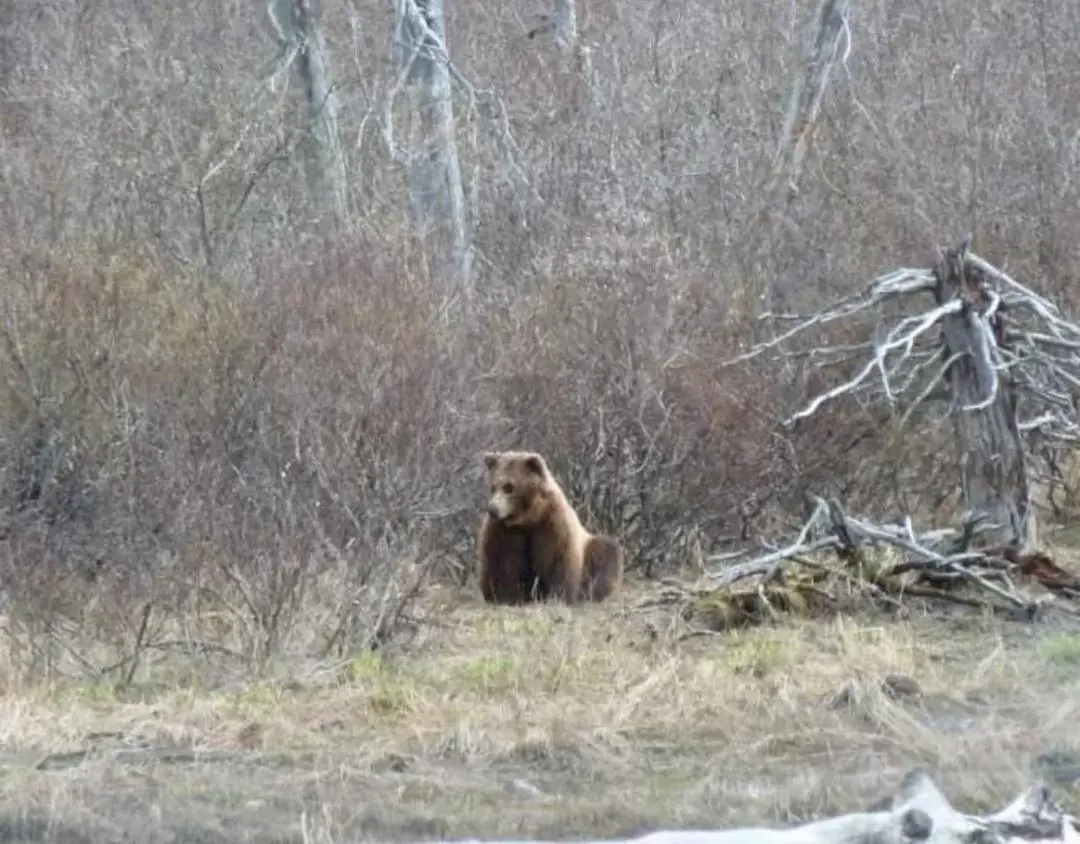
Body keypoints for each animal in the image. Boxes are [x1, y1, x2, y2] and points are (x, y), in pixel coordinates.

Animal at [475, 451, 622, 600]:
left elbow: (556, 561)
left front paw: (557, 595)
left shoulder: (552, 525)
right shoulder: (505, 532)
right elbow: (504, 564)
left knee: (606, 551)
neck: (529, 518)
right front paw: (507, 596)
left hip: (590, 550)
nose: (492, 509)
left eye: (509, 487)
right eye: (493, 487)